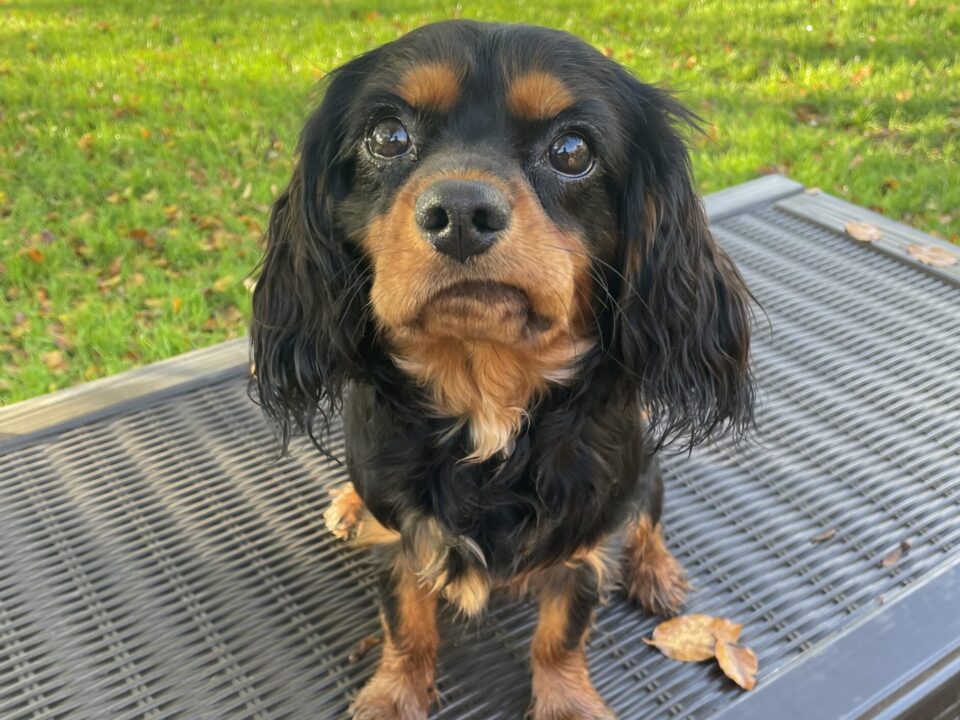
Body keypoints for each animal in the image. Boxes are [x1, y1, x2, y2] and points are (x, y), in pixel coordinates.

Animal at [251, 21, 752, 720]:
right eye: (389, 136)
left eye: (572, 149)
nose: (460, 213)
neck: (483, 397)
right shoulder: (401, 538)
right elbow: (406, 624)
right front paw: (395, 693)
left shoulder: (583, 543)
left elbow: (560, 636)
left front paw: (566, 701)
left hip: (641, 471)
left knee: (648, 514)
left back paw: (657, 572)